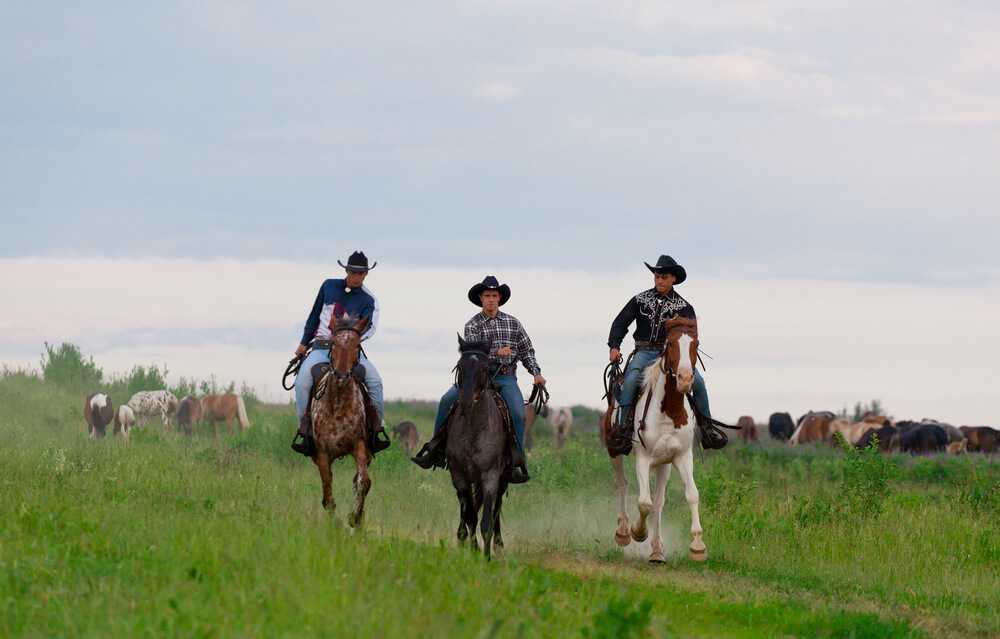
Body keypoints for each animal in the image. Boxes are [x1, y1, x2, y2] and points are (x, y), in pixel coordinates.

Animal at [308, 312, 372, 528]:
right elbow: (328, 494)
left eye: (357, 344)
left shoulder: (359, 445)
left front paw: (355, 517)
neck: (338, 403)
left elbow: (363, 482)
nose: (342, 375)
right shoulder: (323, 454)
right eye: (334, 343)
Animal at [446, 336, 508, 560]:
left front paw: (486, 557)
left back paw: (499, 544)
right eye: (460, 366)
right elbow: (471, 515)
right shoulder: (459, 476)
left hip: (503, 479)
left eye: (484, 368)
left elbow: (486, 521)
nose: (465, 401)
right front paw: (472, 549)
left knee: (497, 508)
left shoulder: (490, 476)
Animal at [608, 318, 712, 564]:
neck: (669, 411)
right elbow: (643, 502)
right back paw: (623, 532)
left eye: (695, 343)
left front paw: (697, 545)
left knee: (658, 501)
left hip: (664, 465)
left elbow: (691, 495)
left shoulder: (682, 457)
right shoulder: (643, 458)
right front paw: (638, 532)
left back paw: (657, 551)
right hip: (614, 451)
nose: (685, 378)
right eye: (671, 343)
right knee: (622, 485)